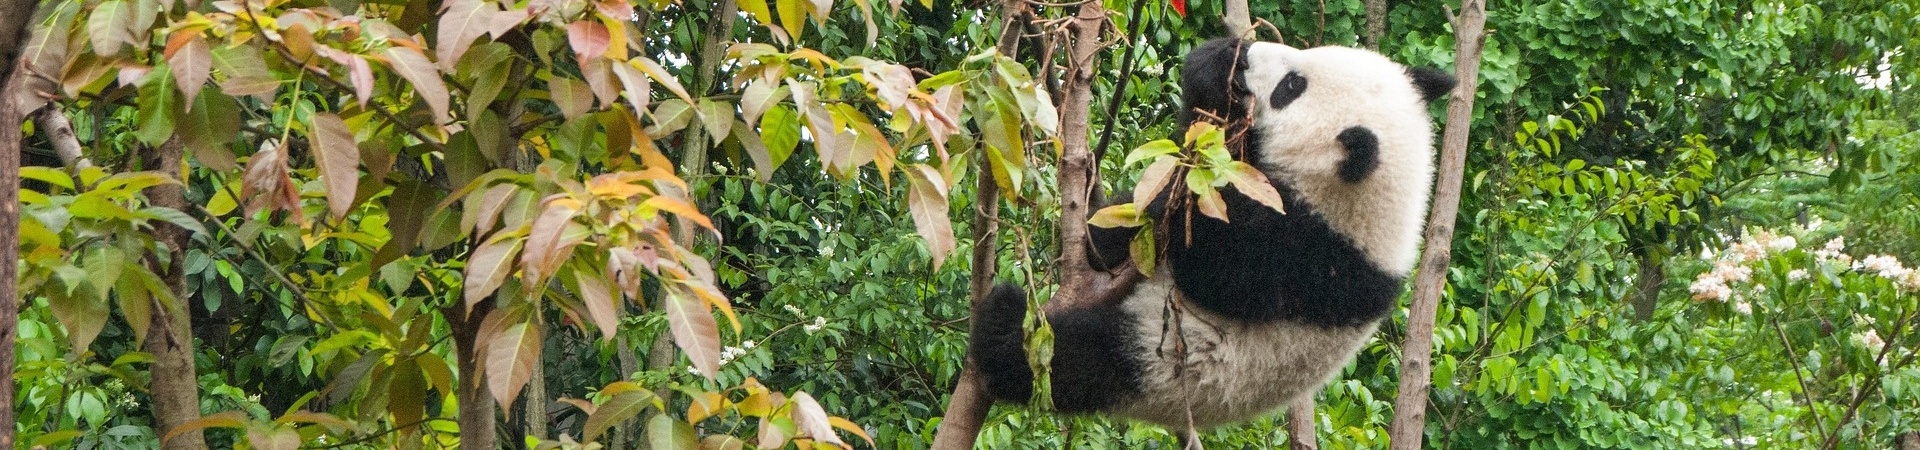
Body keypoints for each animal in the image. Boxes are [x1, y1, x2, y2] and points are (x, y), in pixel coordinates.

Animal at [975, 37, 1451, 428]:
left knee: (1075, 360)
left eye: (1292, 86)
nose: (1250, 53)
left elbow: (1213, 265)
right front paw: (1216, 64)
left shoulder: (1314, 260)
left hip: (1161, 362)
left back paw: (1002, 324)